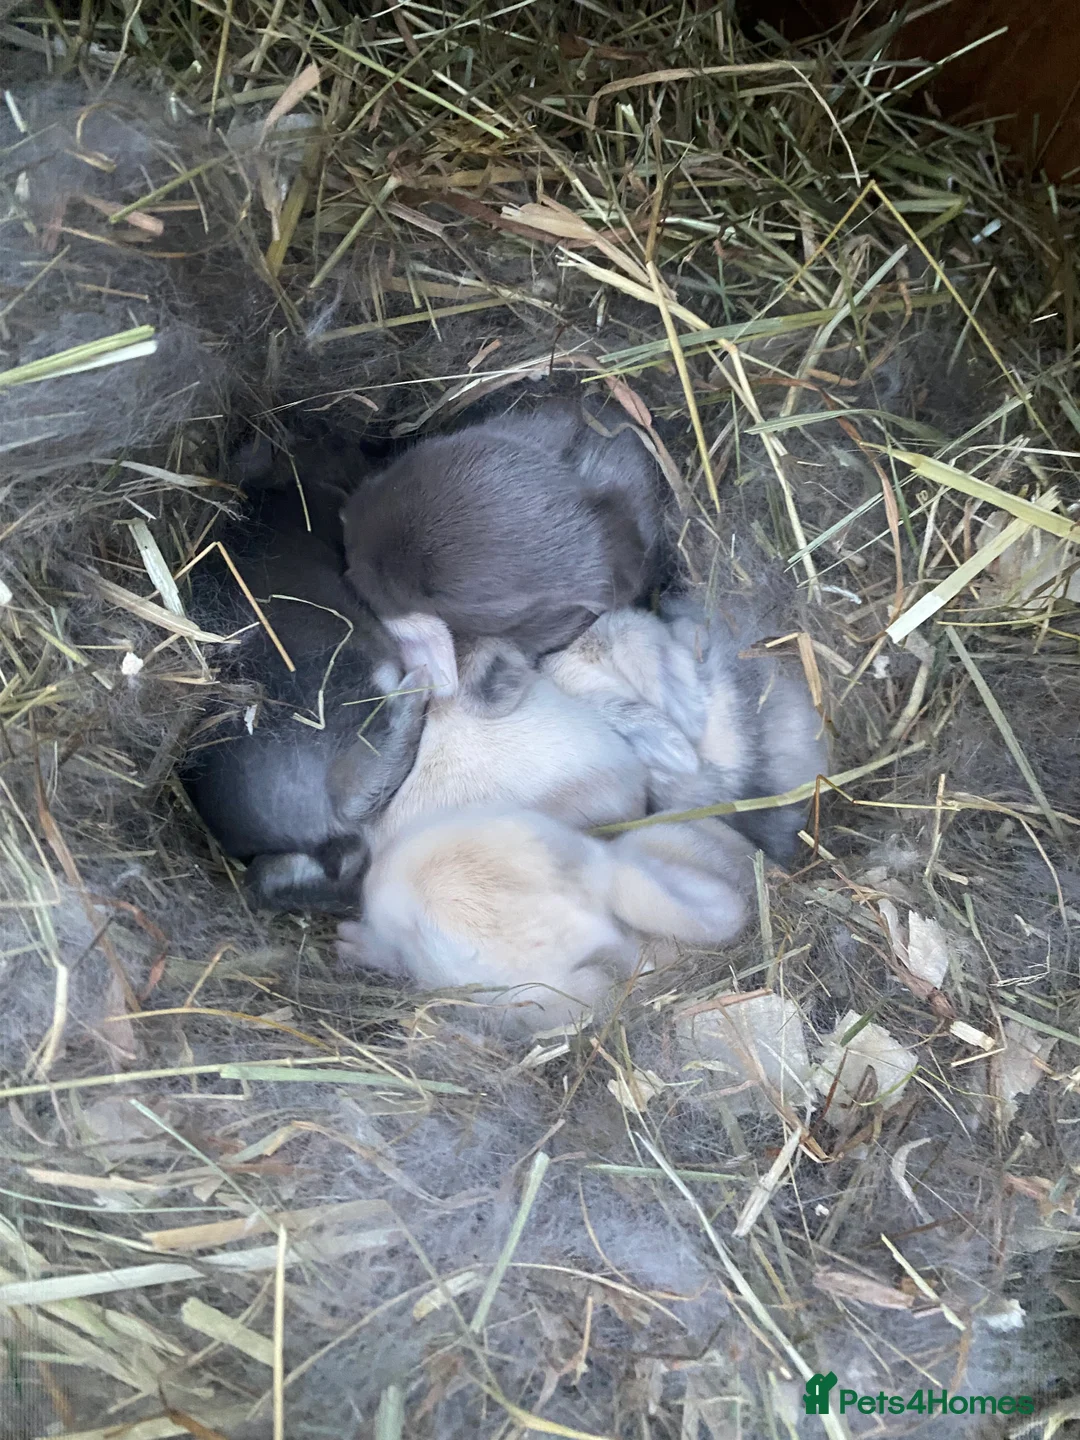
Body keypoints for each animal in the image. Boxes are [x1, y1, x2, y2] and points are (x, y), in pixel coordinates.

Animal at [182, 433, 428, 912]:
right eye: (345, 445)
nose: (378, 448)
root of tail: (315, 822)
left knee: (276, 877)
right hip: (371, 689)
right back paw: (420, 685)